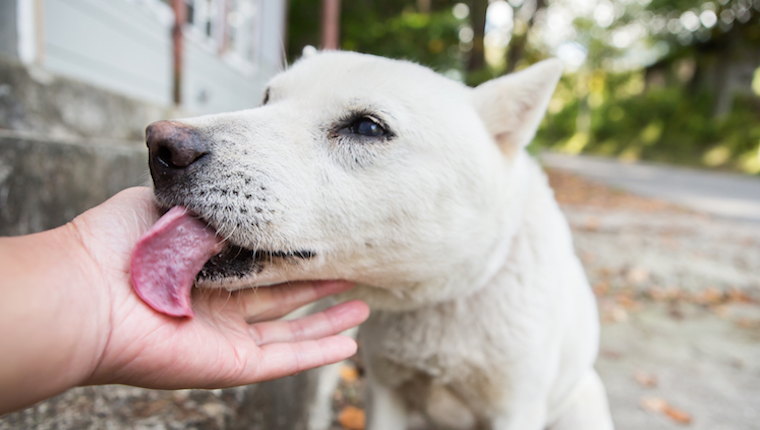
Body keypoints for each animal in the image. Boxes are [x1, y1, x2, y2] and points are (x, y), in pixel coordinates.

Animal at [134, 51, 616, 430]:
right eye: (267, 99)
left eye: (367, 127)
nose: (161, 147)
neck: (445, 298)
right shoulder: (385, 393)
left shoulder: (515, 408)